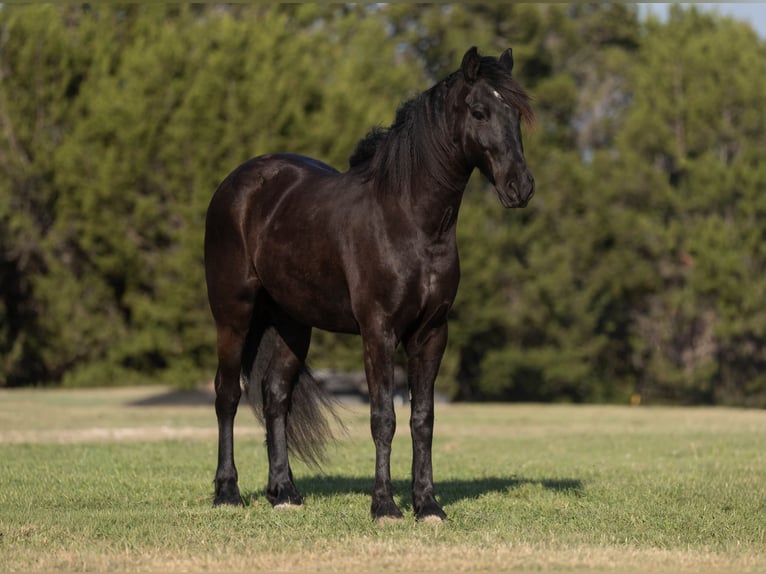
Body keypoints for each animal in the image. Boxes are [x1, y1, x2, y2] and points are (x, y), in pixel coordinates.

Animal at [204, 46, 535, 522]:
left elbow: (422, 418)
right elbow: (383, 417)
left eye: (516, 113)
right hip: (234, 314)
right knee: (227, 394)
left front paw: (427, 504)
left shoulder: (431, 332)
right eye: (479, 111)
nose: (520, 187)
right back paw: (228, 491)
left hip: (291, 324)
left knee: (276, 396)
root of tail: (236, 185)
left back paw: (284, 492)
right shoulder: (378, 330)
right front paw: (385, 505)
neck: (410, 221)